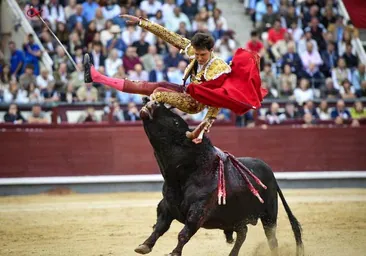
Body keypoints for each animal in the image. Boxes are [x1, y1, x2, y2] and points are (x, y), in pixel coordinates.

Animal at [135, 101, 304, 255]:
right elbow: (159, 227)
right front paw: (144, 246)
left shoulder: (198, 212)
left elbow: (184, 234)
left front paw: (174, 253)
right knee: (243, 233)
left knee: (271, 239)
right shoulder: (166, 206)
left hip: (269, 214)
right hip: (236, 217)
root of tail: (269, 171)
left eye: (176, 122)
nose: (152, 102)